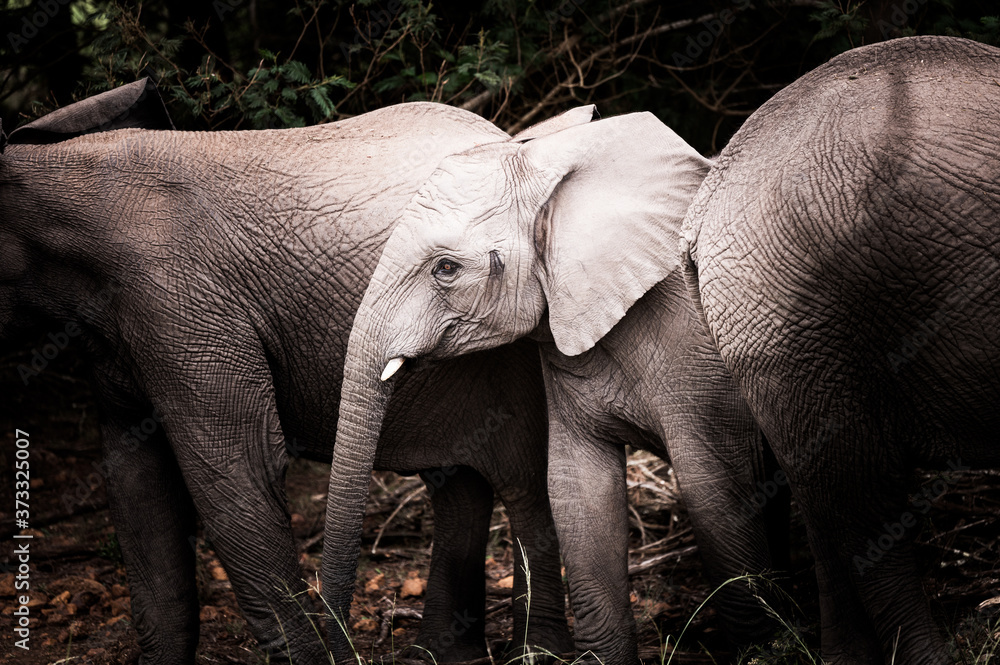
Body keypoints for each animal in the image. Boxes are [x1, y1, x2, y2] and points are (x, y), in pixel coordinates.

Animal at [0, 79, 577, 664]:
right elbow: (135, 483)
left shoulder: (182, 305)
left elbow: (236, 474)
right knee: (457, 480)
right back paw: (445, 656)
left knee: (520, 480)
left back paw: (532, 652)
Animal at [321, 108, 788, 664]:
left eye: (446, 268)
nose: (341, 648)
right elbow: (577, 491)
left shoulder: (700, 354)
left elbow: (715, 492)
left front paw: (761, 649)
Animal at [681, 35, 1000, 664]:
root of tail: (709, 195)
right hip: (802, 314)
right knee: (865, 506)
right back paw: (930, 658)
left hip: (782, 331)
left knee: (825, 502)